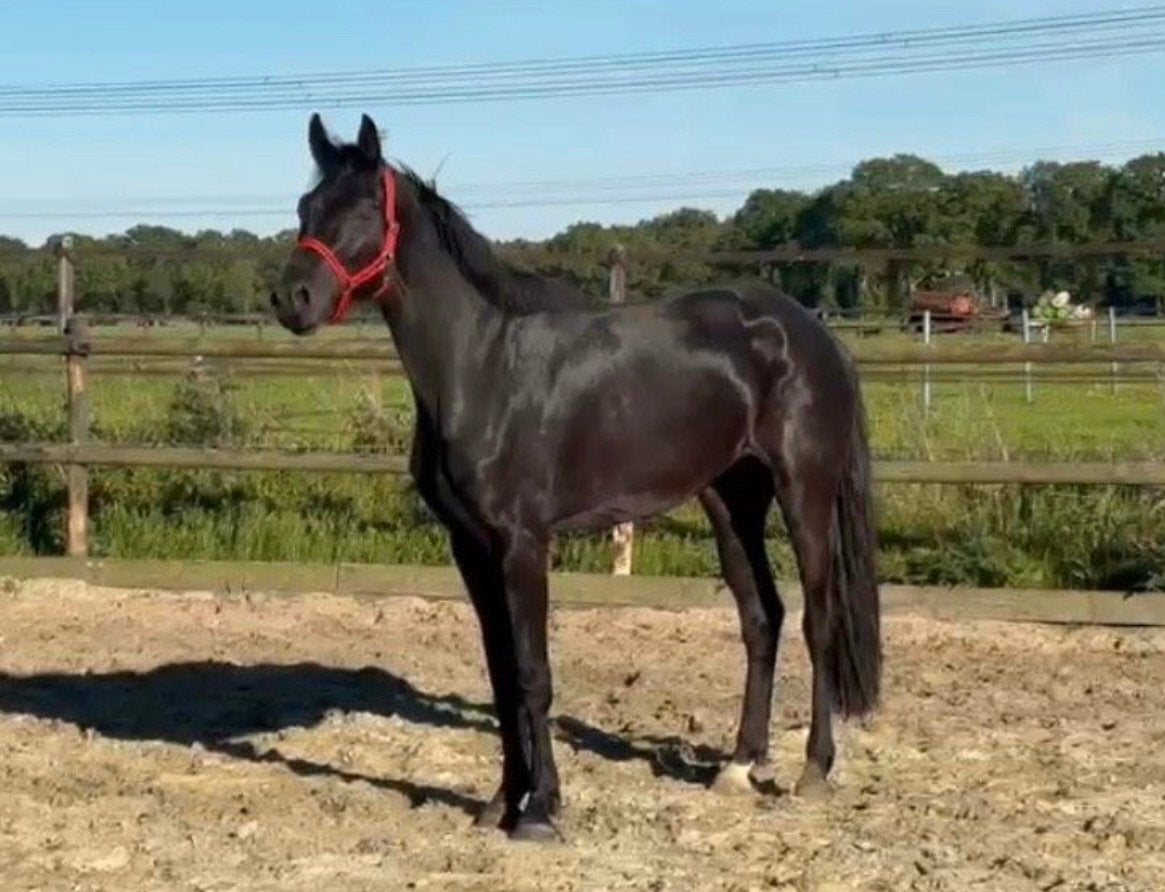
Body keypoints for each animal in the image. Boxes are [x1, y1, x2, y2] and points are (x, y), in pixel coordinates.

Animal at [270, 113, 882, 843]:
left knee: (819, 618)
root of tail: (811, 333)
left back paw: (813, 769)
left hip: (802, 489)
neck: (483, 367)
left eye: (362, 210)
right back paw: (737, 767)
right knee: (762, 616)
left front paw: (539, 811)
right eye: (306, 207)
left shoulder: (524, 544)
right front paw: (500, 802)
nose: (291, 299)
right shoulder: (471, 547)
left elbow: (534, 674)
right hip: (730, 498)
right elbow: (502, 673)